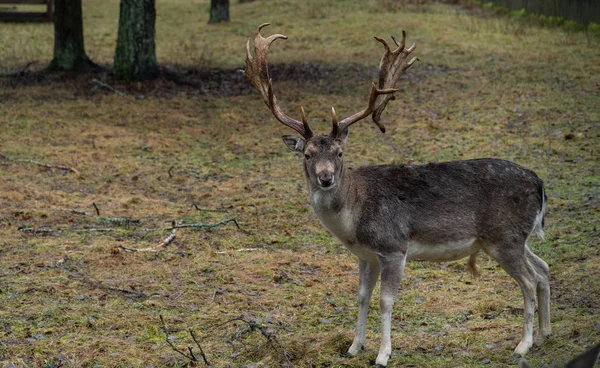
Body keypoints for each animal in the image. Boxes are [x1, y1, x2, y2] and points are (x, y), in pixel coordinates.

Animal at [241, 24, 552, 366]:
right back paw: (544, 335)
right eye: (307, 154)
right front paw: (353, 347)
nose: (325, 177)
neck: (354, 220)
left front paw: (382, 355)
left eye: (339, 152)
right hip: (512, 238)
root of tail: (539, 184)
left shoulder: (393, 247)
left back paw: (522, 345)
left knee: (529, 280)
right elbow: (361, 297)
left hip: (504, 237)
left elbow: (385, 302)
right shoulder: (365, 255)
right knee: (544, 269)